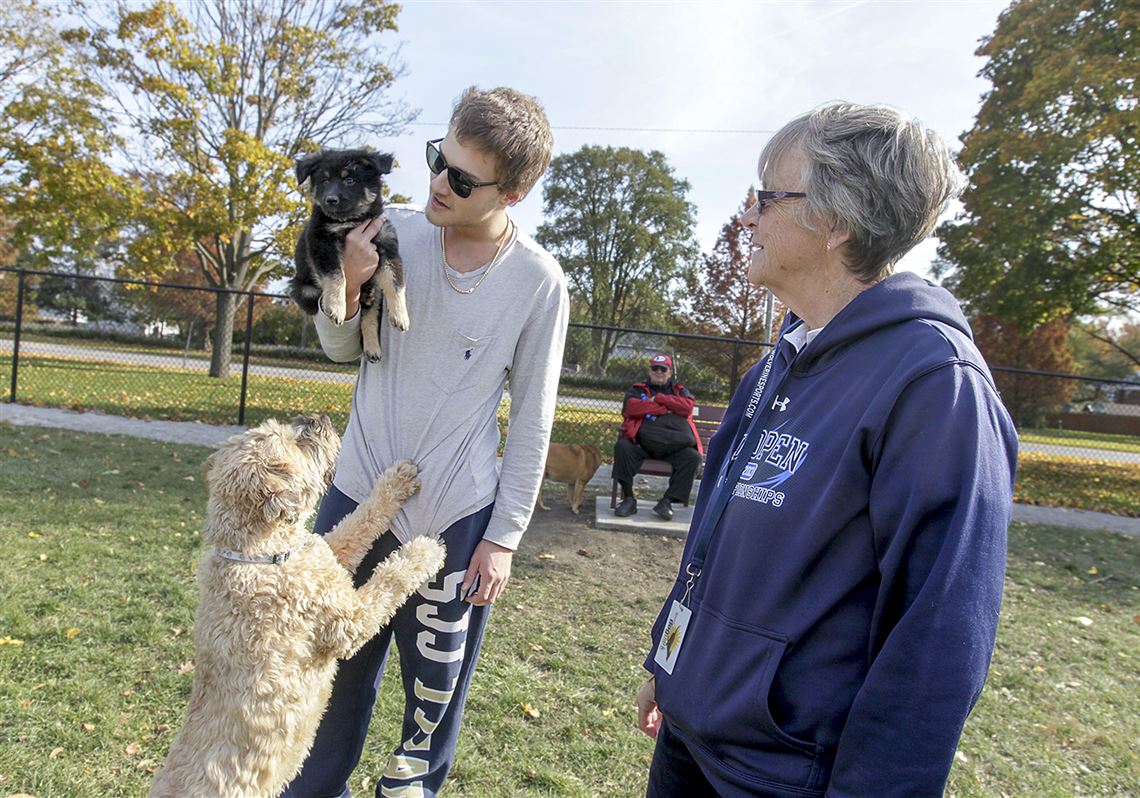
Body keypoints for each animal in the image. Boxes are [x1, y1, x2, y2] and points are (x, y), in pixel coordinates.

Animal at [147, 417, 440, 798]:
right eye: (295, 443)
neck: (258, 553)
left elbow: (359, 520)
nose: (315, 420)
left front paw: (396, 483)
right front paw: (425, 552)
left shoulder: (328, 555)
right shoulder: (349, 622)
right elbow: (389, 578)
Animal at [289, 149, 410, 362]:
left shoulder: (388, 247)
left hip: (375, 293)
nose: (330, 200)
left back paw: (372, 346)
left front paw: (401, 315)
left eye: (350, 180)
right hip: (304, 290)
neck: (353, 220)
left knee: (369, 316)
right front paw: (336, 307)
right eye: (325, 181)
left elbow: (396, 284)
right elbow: (337, 276)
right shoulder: (322, 243)